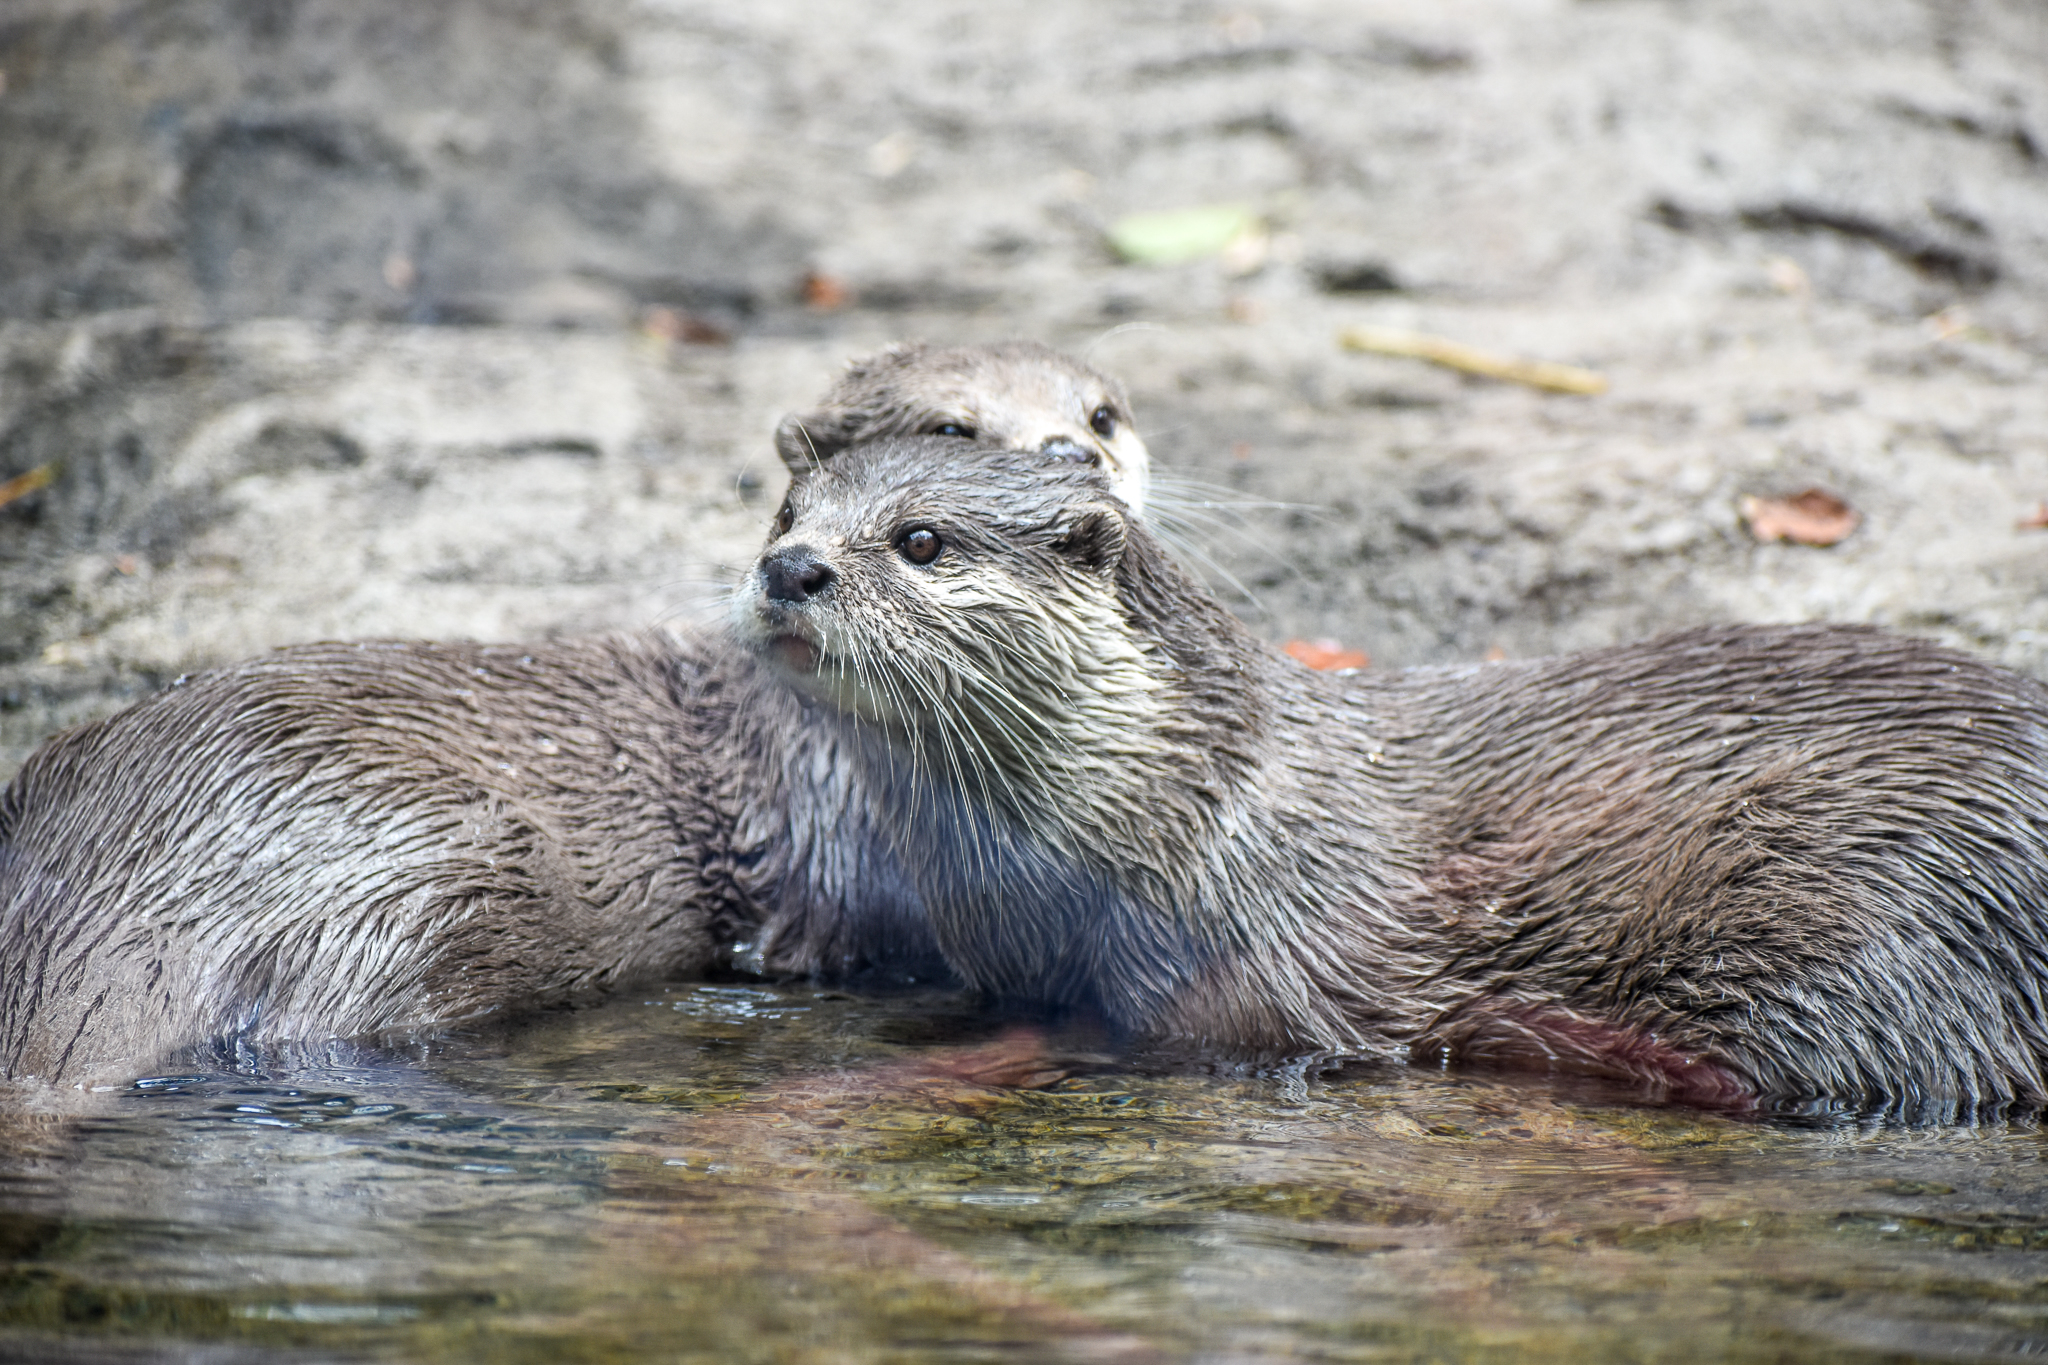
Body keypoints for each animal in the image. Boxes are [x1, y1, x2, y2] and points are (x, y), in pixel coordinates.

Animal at [740, 437, 2048, 1112]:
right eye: (785, 508)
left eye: (919, 540)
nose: (789, 570)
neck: (1198, 811)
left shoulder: (1251, 979)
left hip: (1856, 901)